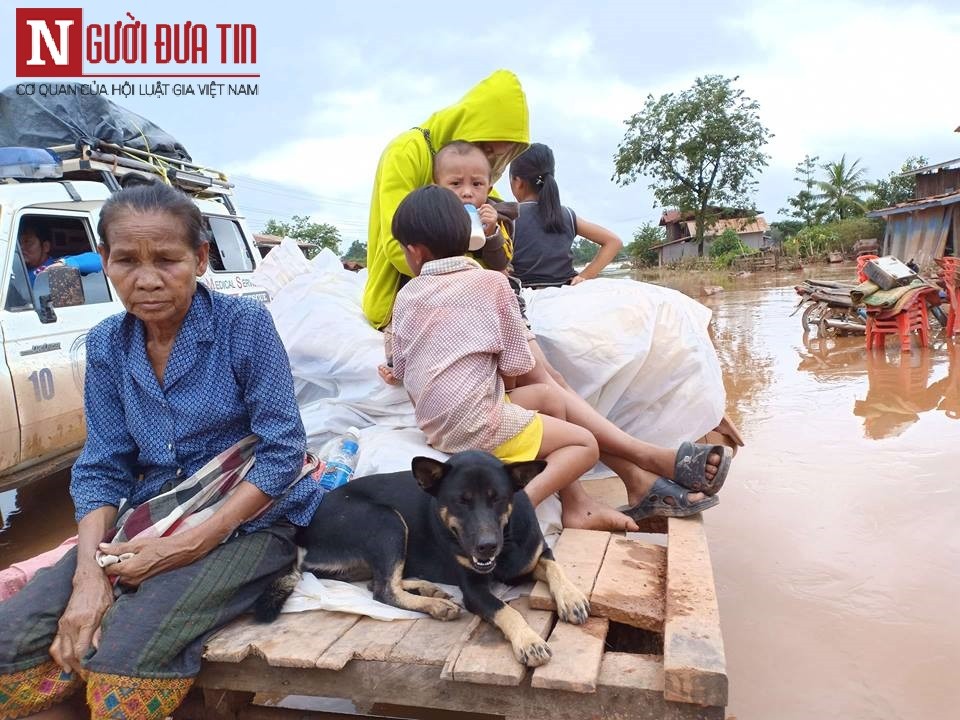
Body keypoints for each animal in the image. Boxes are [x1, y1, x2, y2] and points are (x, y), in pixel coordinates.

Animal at [255, 452, 584, 668]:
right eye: (460, 502)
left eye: (498, 499)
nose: (486, 547)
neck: (507, 538)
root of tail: (303, 531)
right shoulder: (474, 591)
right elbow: (507, 610)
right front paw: (529, 641)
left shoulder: (535, 555)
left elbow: (555, 566)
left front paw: (571, 598)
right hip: (385, 520)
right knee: (383, 590)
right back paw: (436, 605)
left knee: (379, 581)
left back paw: (428, 589)